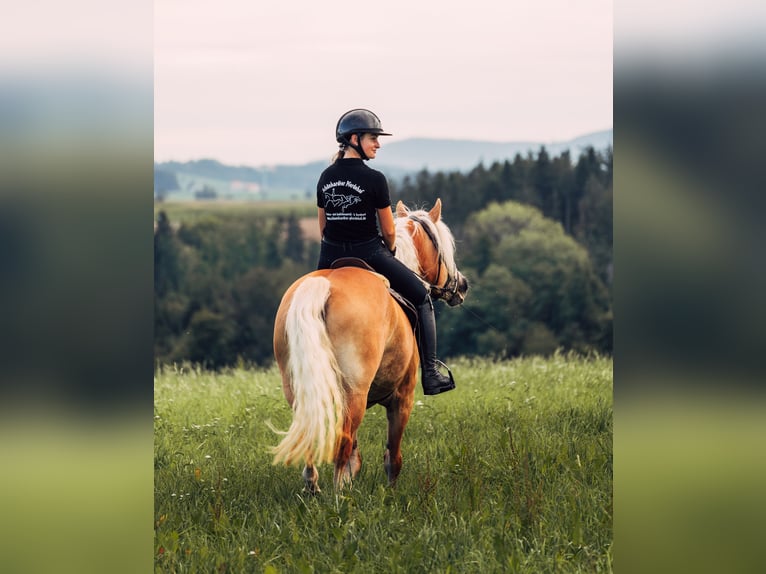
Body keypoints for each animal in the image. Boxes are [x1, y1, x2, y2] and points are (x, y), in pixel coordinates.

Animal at [272, 199, 472, 496]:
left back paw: (313, 487)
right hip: (355, 392)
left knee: (315, 432)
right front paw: (391, 493)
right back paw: (340, 497)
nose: (463, 285)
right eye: (445, 249)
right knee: (342, 443)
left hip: (300, 389)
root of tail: (323, 286)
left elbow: (356, 455)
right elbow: (393, 455)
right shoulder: (403, 397)